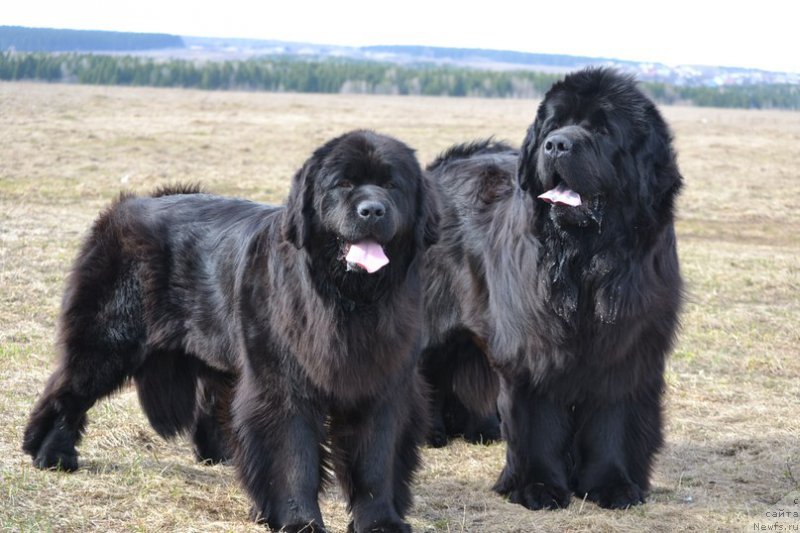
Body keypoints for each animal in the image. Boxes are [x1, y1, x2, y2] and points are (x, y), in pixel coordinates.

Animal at [23, 130, 438, 532]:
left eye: (392, 185)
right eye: (344, 184)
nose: (372, 210)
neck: (346, 300)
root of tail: (128, 205)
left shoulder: (383, 385)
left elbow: (376, 459)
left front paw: (381, 522)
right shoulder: (283, 384)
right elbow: (293, 456)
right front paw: (299, 521)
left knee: (213, 399)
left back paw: (221, 454)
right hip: (109, 339)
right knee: (69, 390)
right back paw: (50, 453)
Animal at [422, 68, 684, 510]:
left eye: (603, 129)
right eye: (554, 125)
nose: (557, 144)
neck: (586, 262)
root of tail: (441, 165)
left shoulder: (625, 349)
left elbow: (611, 421)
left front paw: (611, 484)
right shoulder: (533, 347)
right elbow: (538, 422)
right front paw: (538, 486)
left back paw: (479, 427)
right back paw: (430, 431)